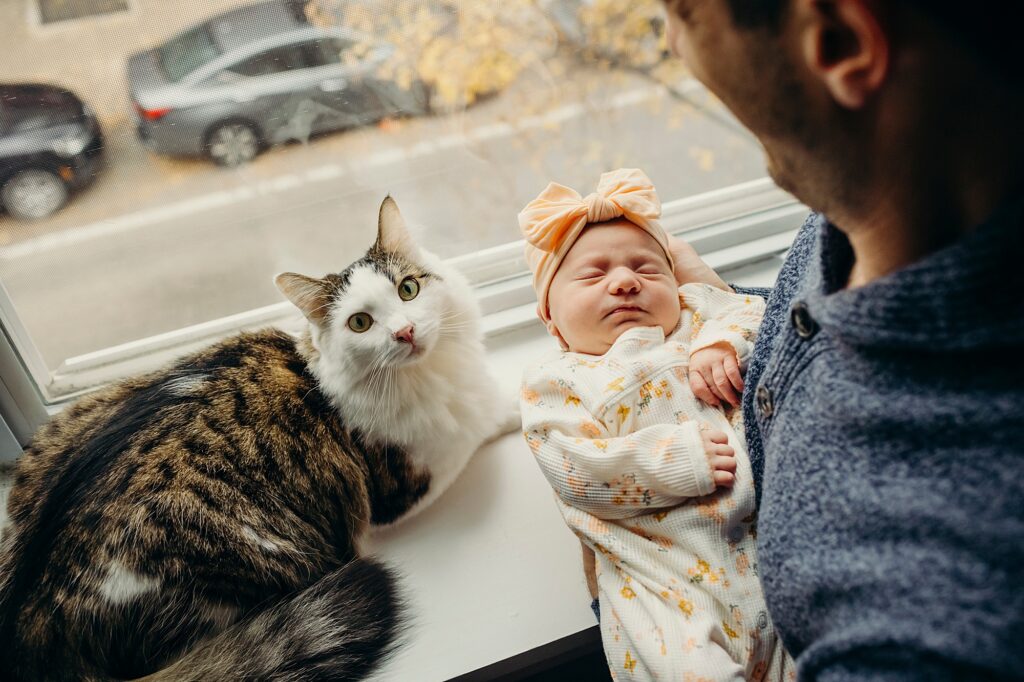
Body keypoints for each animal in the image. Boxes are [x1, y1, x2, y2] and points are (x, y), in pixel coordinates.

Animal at [0, 193, 516, 675]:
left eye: (409, 289)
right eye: (361, 323)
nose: (405, 332)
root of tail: (29, 618)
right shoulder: (402, 484)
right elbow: (476, 422)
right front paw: (511, 407)